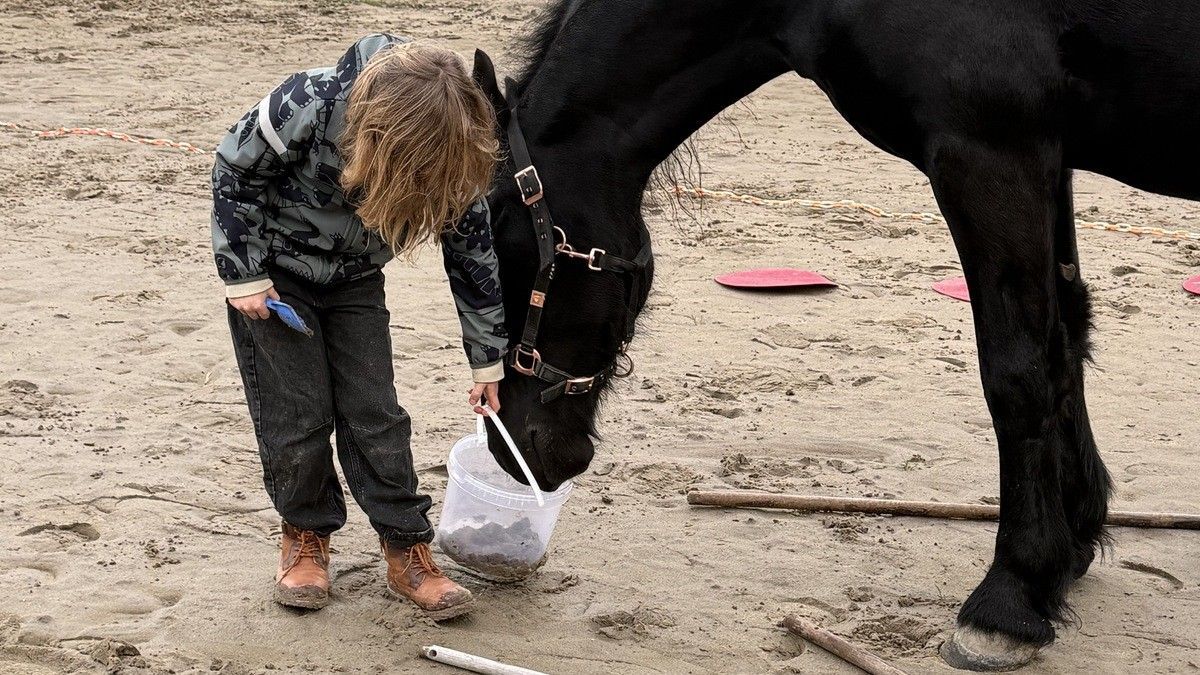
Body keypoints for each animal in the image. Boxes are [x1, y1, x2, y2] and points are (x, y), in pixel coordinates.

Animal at [470, 0, 1200, 669]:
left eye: (501, 252)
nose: (511, 447)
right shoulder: (1048, 159)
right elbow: (1066, 336)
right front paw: (1070, 544)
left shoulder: (991, 157)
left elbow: (1018, 371)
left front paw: (1010, 598)